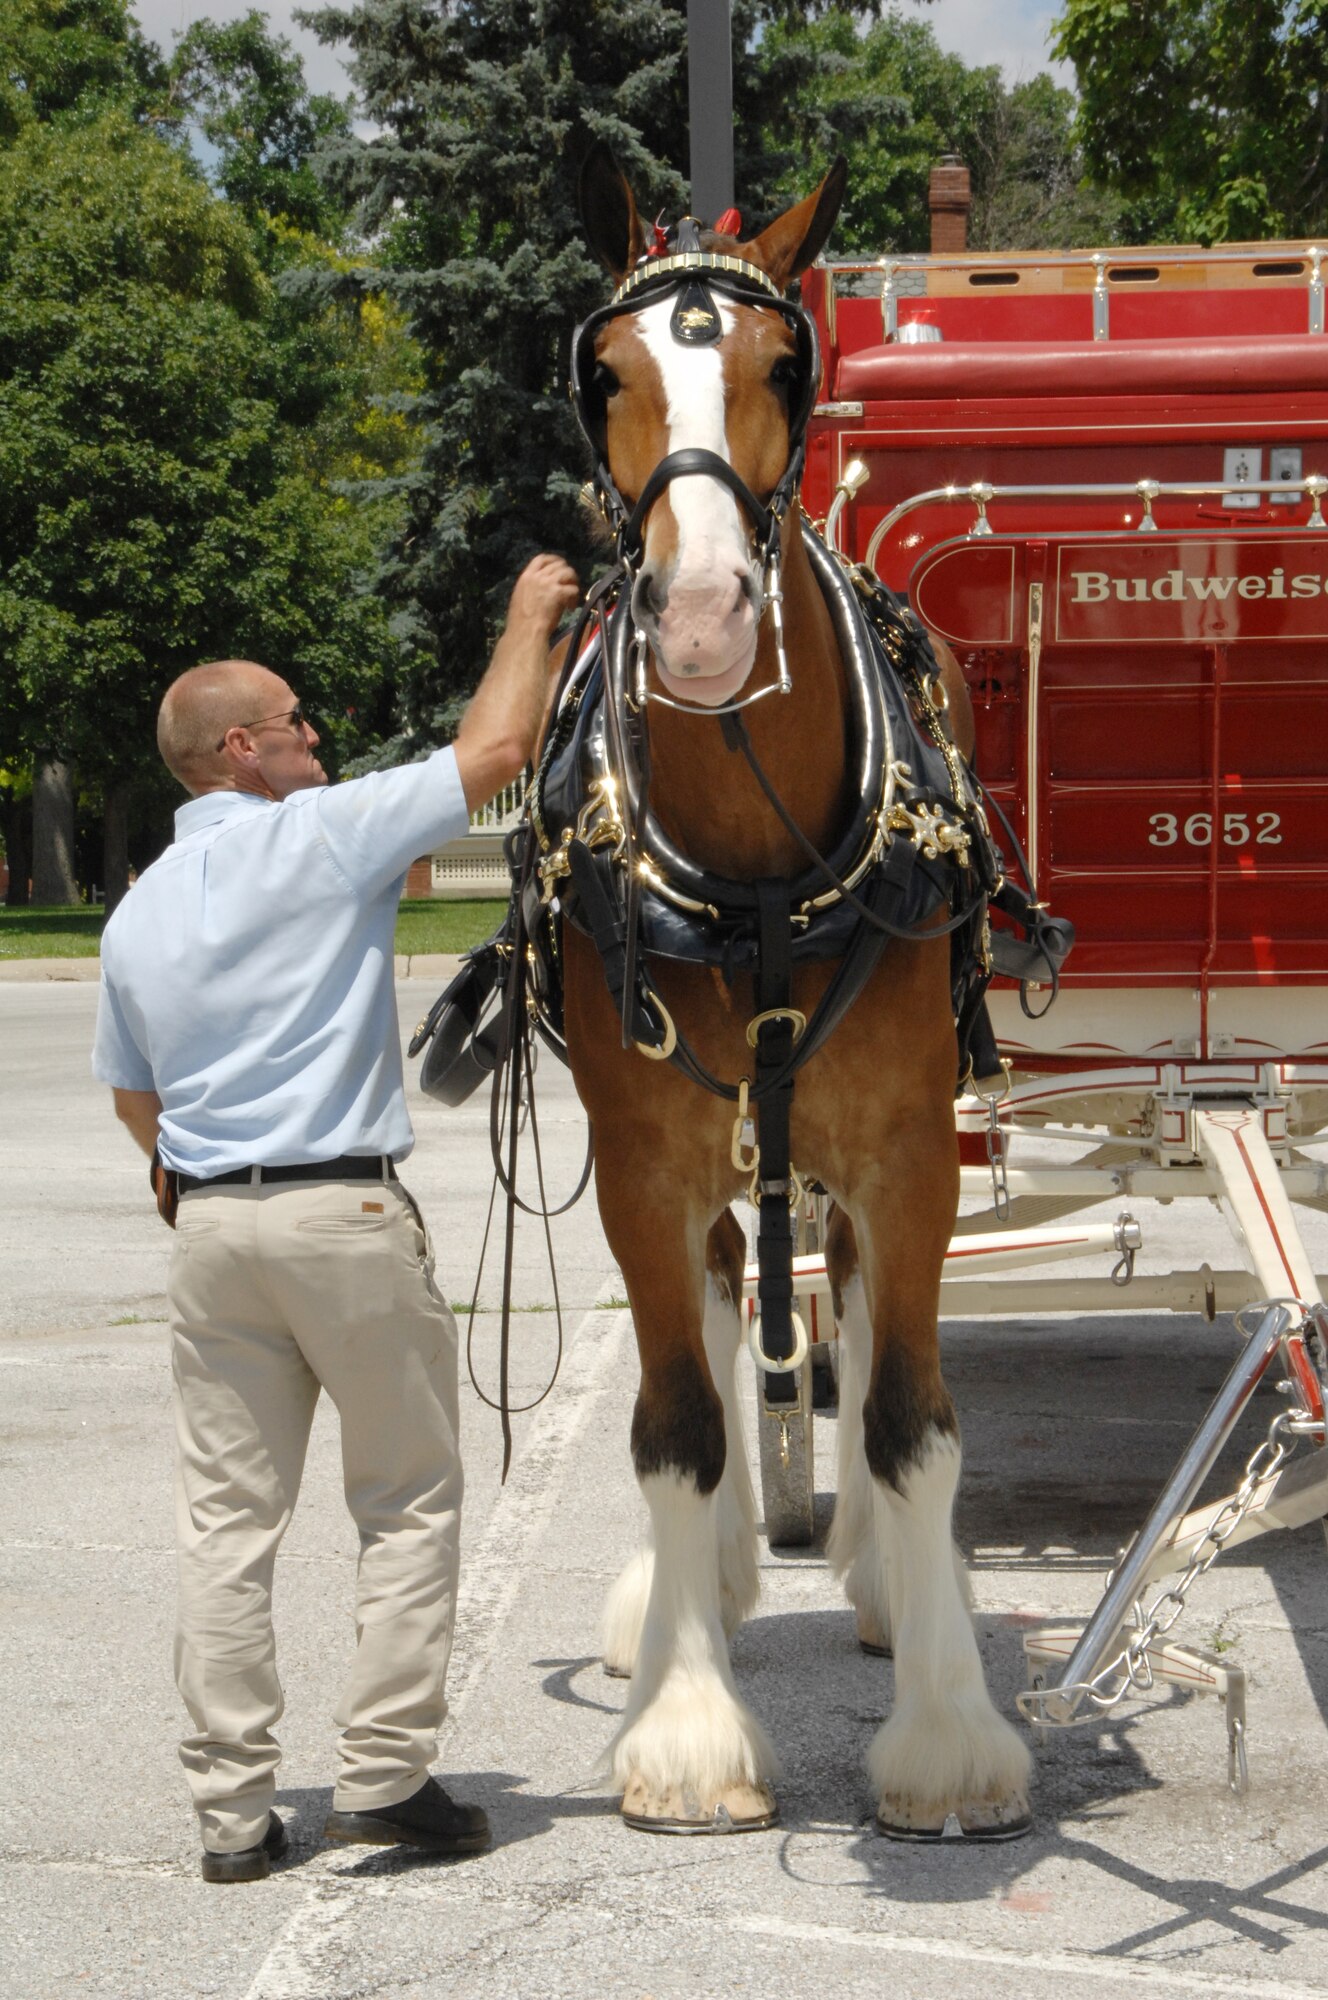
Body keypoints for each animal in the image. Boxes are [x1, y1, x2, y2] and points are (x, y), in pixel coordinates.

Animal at [556, 152, 1024, 1840]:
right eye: (605, 374)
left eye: (784, 367)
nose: (698, 622)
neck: (755, 868)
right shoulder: (642, 1158)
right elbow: (680, 1425)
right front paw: (687, 1723)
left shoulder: (908, 1147)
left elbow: (912, 1419)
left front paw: (950, 1732)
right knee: (711, 1309)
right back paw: (694, 1597)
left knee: (868, 1317)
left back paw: (889, 1584)